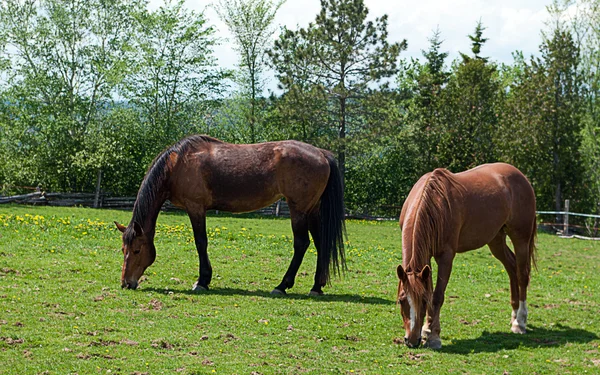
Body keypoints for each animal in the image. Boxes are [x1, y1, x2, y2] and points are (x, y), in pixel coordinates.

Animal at [114, 135, 344, 296]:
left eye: (136, 250)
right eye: (123, 249)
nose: (126, 283)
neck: (177, 164)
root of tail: (321, 154)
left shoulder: (195, 207)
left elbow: (201, 242)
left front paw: (202, 281)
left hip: (299, 210)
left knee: (301, 244)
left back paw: (282, 286)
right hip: (311, 209)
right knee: (320, 244)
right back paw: (316, 287)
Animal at [396, 163, 536, 352]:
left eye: (423, 302)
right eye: (401, 300)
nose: (411, 341)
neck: (434, 202)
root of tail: (521, 176)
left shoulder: (446, 256)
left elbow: (437, 296)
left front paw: (434, 337)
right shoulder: (427, 259)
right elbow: (430, 289)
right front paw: (426, 329)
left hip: (520, 237)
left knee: (522, 275)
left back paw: (520, 322)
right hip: (496, 240)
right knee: (512, 268)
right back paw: (514, 316)